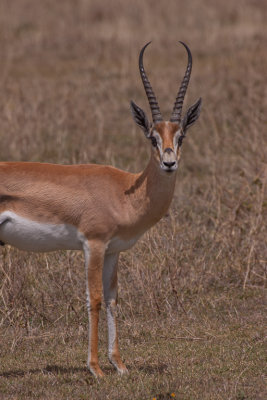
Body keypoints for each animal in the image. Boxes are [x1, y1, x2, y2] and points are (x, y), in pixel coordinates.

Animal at [0, 42, 201, 376]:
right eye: (152, 137)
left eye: (181, 136)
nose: (169, 162)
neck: (124, 191)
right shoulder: (92, 244)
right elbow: (93, 299)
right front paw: (95, 368)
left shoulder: (112, 251)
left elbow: (112, 300)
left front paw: (119, 364)